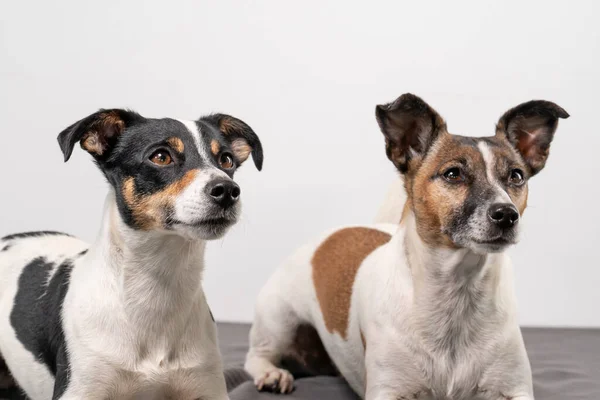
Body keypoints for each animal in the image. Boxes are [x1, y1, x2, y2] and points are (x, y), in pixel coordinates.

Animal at [0, 108, 262, 398]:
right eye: (160, 156)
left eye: (226, 160)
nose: (227, 190)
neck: (157, 291)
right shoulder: (80, 389)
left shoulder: (207, 386)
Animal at [244, 94, 568, 400]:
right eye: (453, 174)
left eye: (516, 176)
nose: (507, 215)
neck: (457, 292)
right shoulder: (388, 390)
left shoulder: (514, 388)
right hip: (278, 319)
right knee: (256, 355)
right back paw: (272, 374)